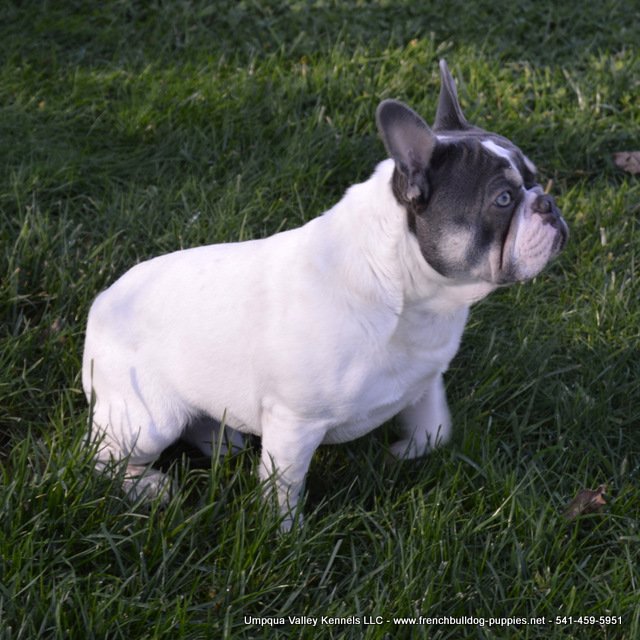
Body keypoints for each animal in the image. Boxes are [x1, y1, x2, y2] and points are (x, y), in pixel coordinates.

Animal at [82, 60, 568, 529]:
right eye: (503, 199)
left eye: (534, 180)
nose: (547, 204)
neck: (409, 295)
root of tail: (102, 305)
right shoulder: (295, 424)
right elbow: (283, 490)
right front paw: (285, 536)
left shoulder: (425, 380)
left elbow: (436, 429)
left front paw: (403, 453)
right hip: (148, 418)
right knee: (103, 457)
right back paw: (148, 487)